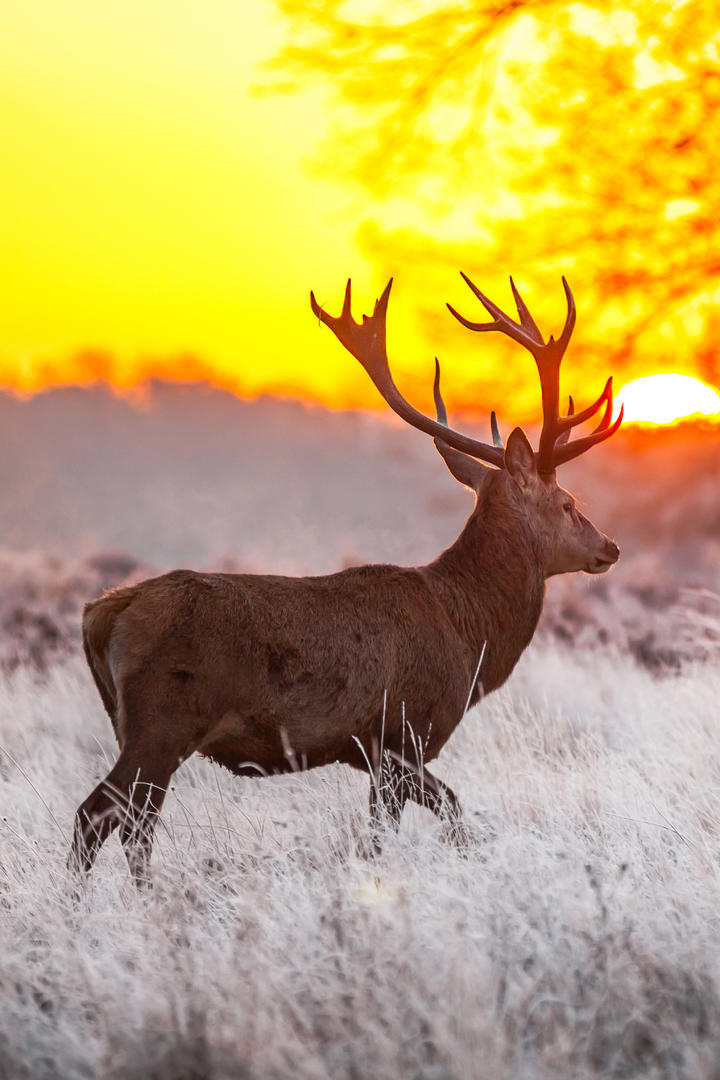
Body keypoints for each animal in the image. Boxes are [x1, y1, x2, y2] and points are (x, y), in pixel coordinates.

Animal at [70, 272, 621, 885]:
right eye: (568, 503)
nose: (609, 547)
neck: (468, 632)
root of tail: (101, 613)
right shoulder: (402, 734)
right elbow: (435, 818)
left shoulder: (378, 751)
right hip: (162, 721)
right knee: (104, 816)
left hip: (130, 723)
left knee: (127, 821)